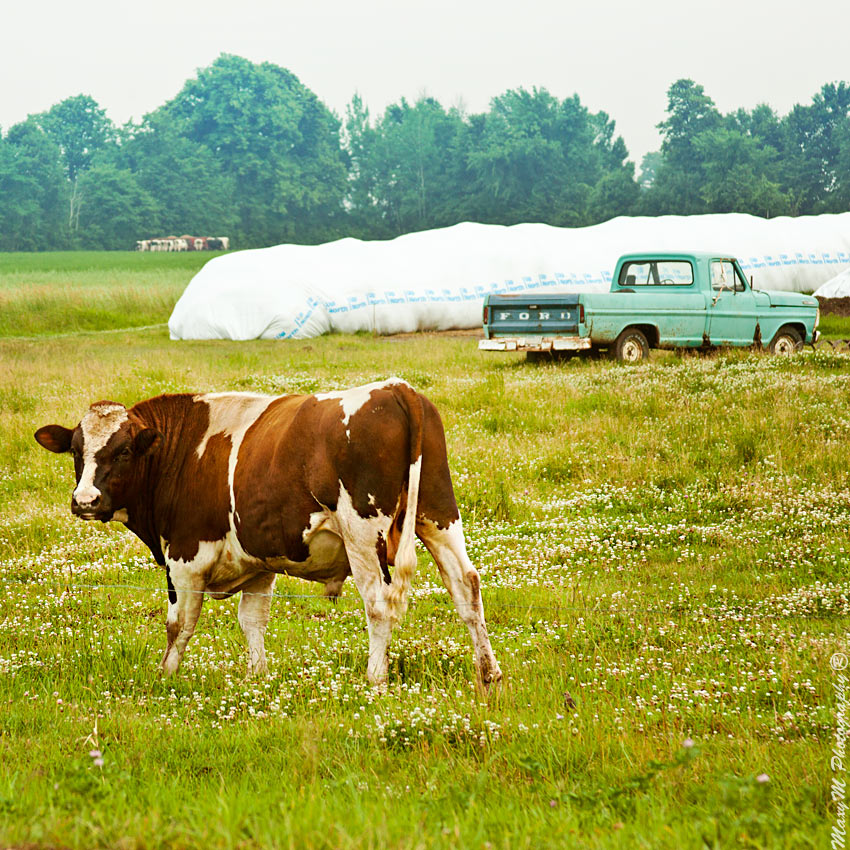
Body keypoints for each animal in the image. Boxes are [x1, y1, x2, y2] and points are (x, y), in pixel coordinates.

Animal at [34, 380, 496, 684]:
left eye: (125, 451)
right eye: (76, 451)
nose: (86, 501)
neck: (183, 450)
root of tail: (396, 389)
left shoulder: (185, 555)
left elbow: (178, 623)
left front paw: (165, 676)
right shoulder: (258, 561)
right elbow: (252, 620)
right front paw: (257, 676)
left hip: (364, 533)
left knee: (379, 603)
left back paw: (375, 678)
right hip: (439, 514)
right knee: (466, 585)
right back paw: (488, 672)